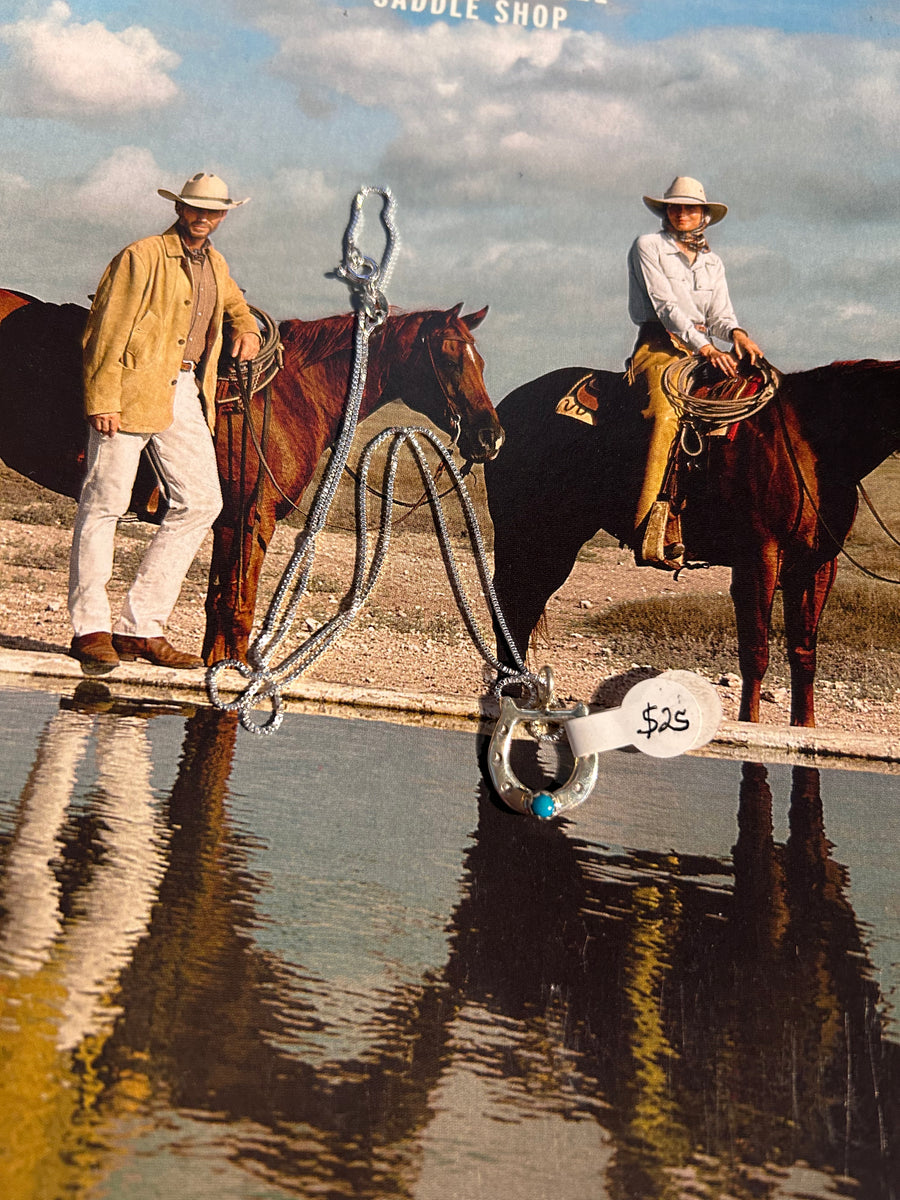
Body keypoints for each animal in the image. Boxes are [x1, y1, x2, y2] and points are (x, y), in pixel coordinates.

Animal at [0, 292, 504, 667]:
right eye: (450, 358)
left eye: (481, 362)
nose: (490, 436)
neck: (289, 396)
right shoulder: (253, 518)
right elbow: (238, 609)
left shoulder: (227, 521)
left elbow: (219, 609)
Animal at [487, 360, 900, 724]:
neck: (809, 443)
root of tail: (504, 411)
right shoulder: (758, 558)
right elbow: (756, 652)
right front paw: (749, 724)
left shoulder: (817, 565)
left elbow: (803, 652)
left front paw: (804, 728)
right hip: (530, 536)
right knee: (510, 604)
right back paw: (508, 693)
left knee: (521, 605)